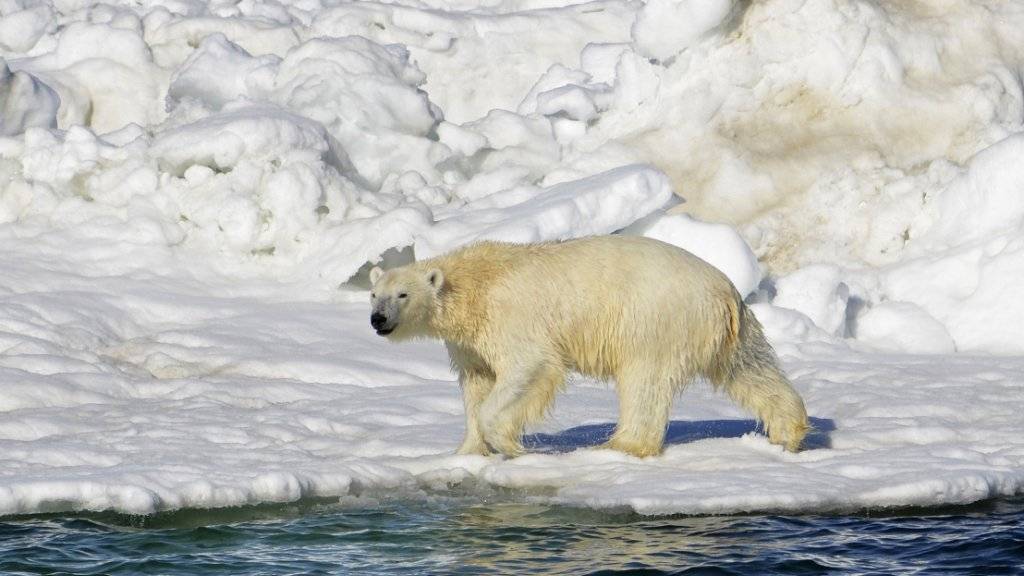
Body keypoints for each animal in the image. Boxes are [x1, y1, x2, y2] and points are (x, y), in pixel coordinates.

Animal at [368, 235, 806, 455]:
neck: (476, 283)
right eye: (374, 294)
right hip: (729, 329)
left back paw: (621, 445)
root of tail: (724, 290)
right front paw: (468, 451)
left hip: (655, 319)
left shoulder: (511, 317)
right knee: (750, 369)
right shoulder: (470, 341)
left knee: (644, 382)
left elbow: (529, 367)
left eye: (402, 294)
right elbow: (476, 383)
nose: (378, 320)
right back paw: (789, 431)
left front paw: (508, 443)